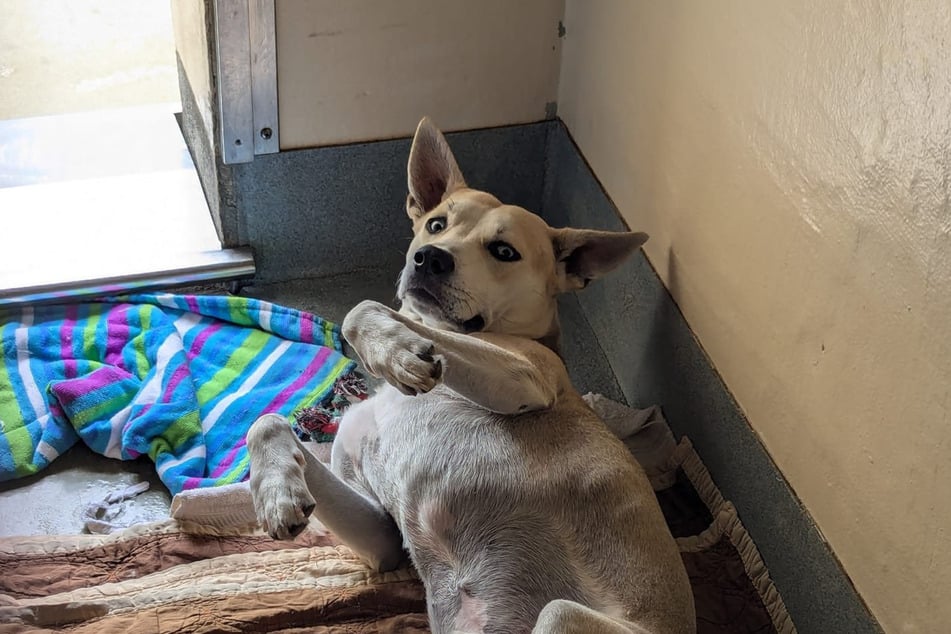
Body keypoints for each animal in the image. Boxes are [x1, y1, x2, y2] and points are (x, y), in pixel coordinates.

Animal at [245, 118, 692, 632]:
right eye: (437, 224)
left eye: (504, 250)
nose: (430, 258)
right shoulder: (382, 539)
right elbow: (267, 421)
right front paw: (276, 493)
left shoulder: (525, 375)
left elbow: (364, 309)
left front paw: (396, 351)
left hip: (560, 615)